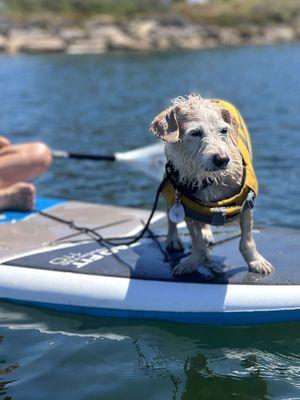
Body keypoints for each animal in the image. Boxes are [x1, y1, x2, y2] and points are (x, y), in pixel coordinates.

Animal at [150, 94, 274, 276]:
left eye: (223, 131)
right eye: (195, 133)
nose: (222, 159)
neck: (209, 179)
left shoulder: (246, 204)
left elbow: (247, 240)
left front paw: (255, 261)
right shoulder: (187, 209)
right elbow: (197, 242)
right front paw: (192, 262)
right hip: (170, 187)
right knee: (171, 218)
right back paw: (173, 239)